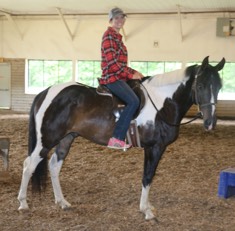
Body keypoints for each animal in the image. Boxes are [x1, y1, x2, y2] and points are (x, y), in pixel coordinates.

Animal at [17, 56, 224, 220]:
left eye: (219, 87)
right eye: (200, 85)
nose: (210, 122)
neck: (162, 103)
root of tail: (46, 92)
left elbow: (150, 176)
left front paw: (147, 206)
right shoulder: (154, 147)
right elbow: (147, 176)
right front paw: (146, 211)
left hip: (66, 139)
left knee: (53, 165)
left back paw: (62, 201)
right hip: (46, 140)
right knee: (29, 165)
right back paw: (23, 203)